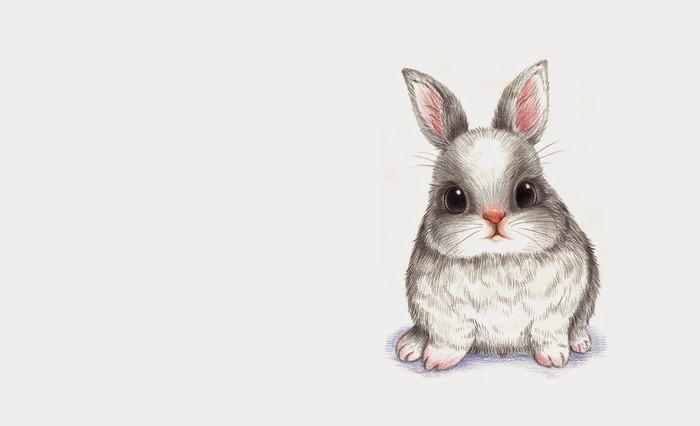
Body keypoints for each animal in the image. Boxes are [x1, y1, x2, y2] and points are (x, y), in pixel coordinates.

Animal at [395, 60, 600, 371]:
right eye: (453, 198)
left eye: (527, 192)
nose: (495, 217)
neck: (497, 258)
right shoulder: (441, 312)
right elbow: (450, 338)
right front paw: (437, 361)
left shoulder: (556, 309)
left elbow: (547, 334)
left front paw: (553, 358)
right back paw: (409, 346)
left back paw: (580, 342)